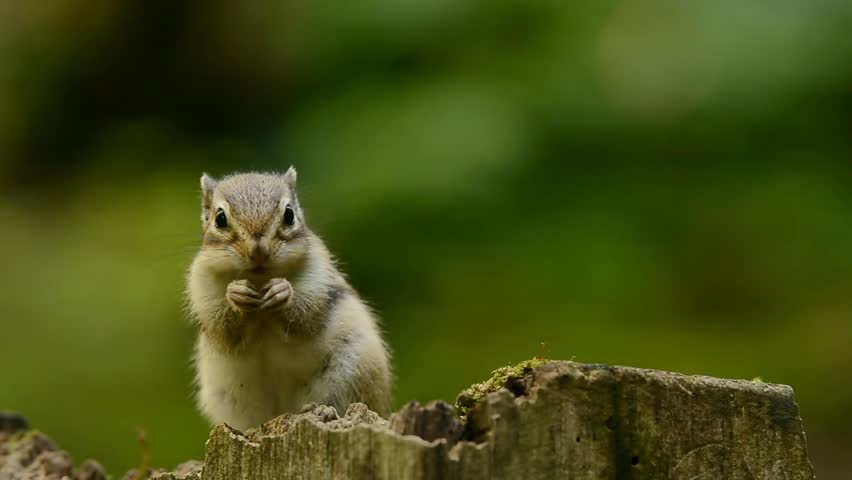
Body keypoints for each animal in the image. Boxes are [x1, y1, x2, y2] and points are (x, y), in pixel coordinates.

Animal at [186, 168, 392, 431]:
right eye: (220, 218)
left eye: (289, 214)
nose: (258, 251)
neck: (260, 280)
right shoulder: (203, 292)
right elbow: (225, 331)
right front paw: (236, 294)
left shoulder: (318, 282)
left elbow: (305, 318)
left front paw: (282, 292)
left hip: (353, 370)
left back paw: (324, 411)